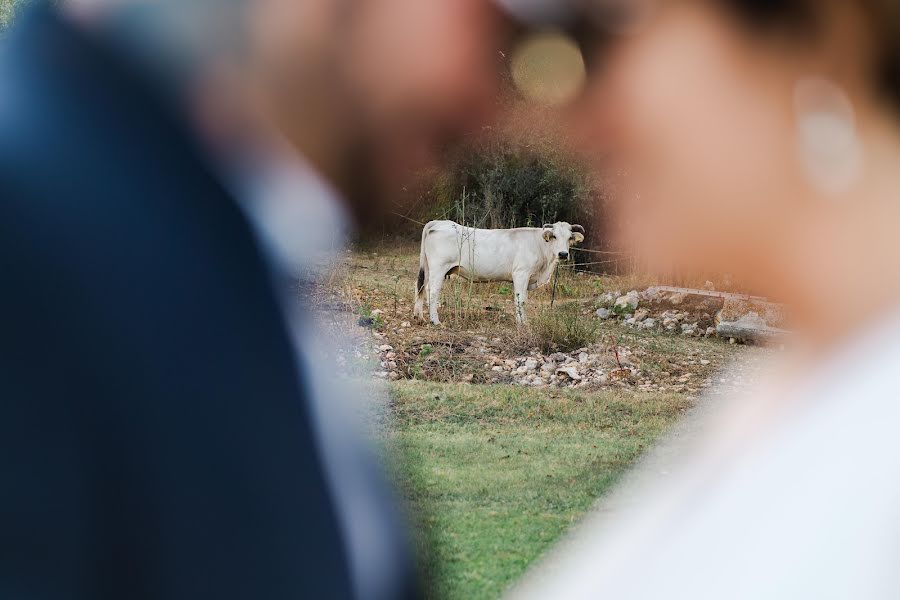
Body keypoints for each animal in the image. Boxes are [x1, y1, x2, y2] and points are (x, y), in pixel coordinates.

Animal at [414, 220, 588, 324]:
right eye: (554, 236)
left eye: (569, 238)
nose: (563, 254)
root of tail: (439, 223)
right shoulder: (521, 274)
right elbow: (520, 300)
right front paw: (521, 323)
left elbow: (523, 300)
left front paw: (524, 321)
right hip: (438, 268)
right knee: (432, 292)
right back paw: (435, 321)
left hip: (429, 268)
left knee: (420, 288)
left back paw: (419, 316)